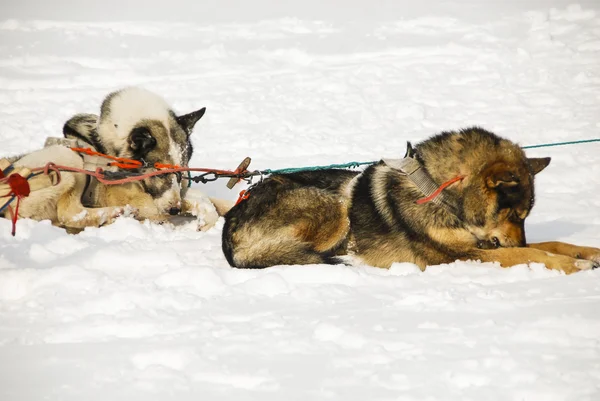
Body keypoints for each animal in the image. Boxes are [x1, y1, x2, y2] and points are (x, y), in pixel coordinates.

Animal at [0, 87, 232, 231]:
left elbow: (209, 199)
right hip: (68, 159)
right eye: (159, 173)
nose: (174, 209)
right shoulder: (144, 202)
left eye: (181, 173)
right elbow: (195, 198)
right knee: (69, 213)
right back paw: (116, 213)